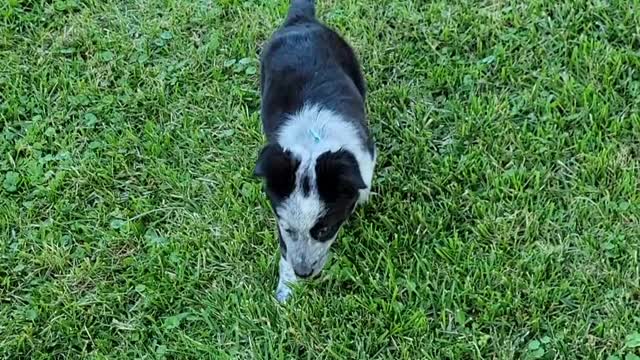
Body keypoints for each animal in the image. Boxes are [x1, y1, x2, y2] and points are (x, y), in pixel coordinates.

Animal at [254, 0, 376, 302]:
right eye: (287, 228)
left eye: (323, 230)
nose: (304, 274)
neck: (313, 144)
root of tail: (300, 19)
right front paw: (286, 290)